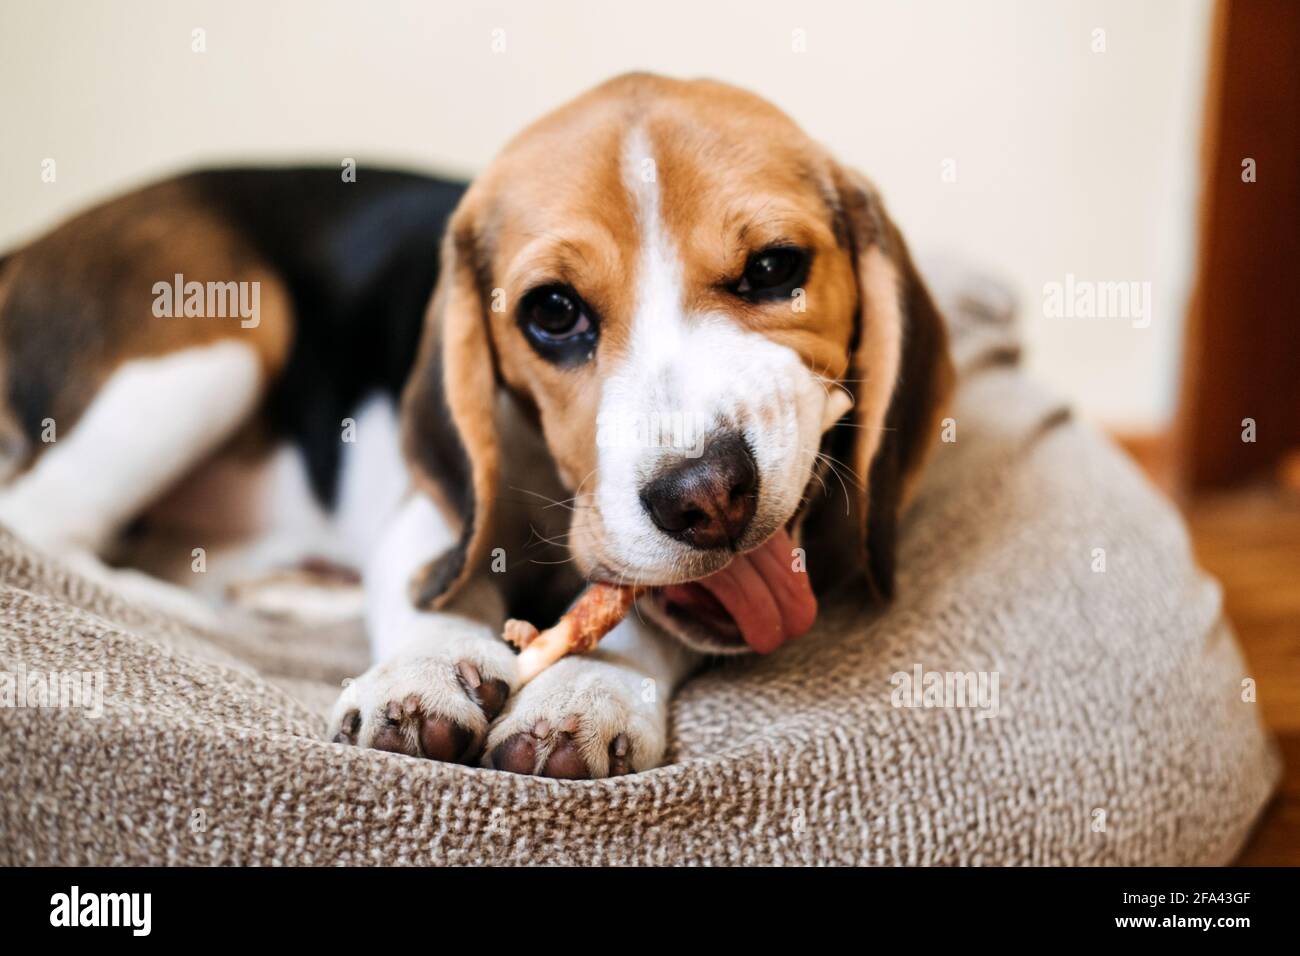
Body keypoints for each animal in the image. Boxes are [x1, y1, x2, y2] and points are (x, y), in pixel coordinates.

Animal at [2, 72, 956, 780]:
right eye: (553, 313)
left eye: (774, 268)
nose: (707, 496)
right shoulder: (436, 517)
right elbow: (441, 591)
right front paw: (424, 673)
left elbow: (637, 611)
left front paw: (586, 690)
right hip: (224, 336)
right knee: (46, 527)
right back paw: (203, 616)